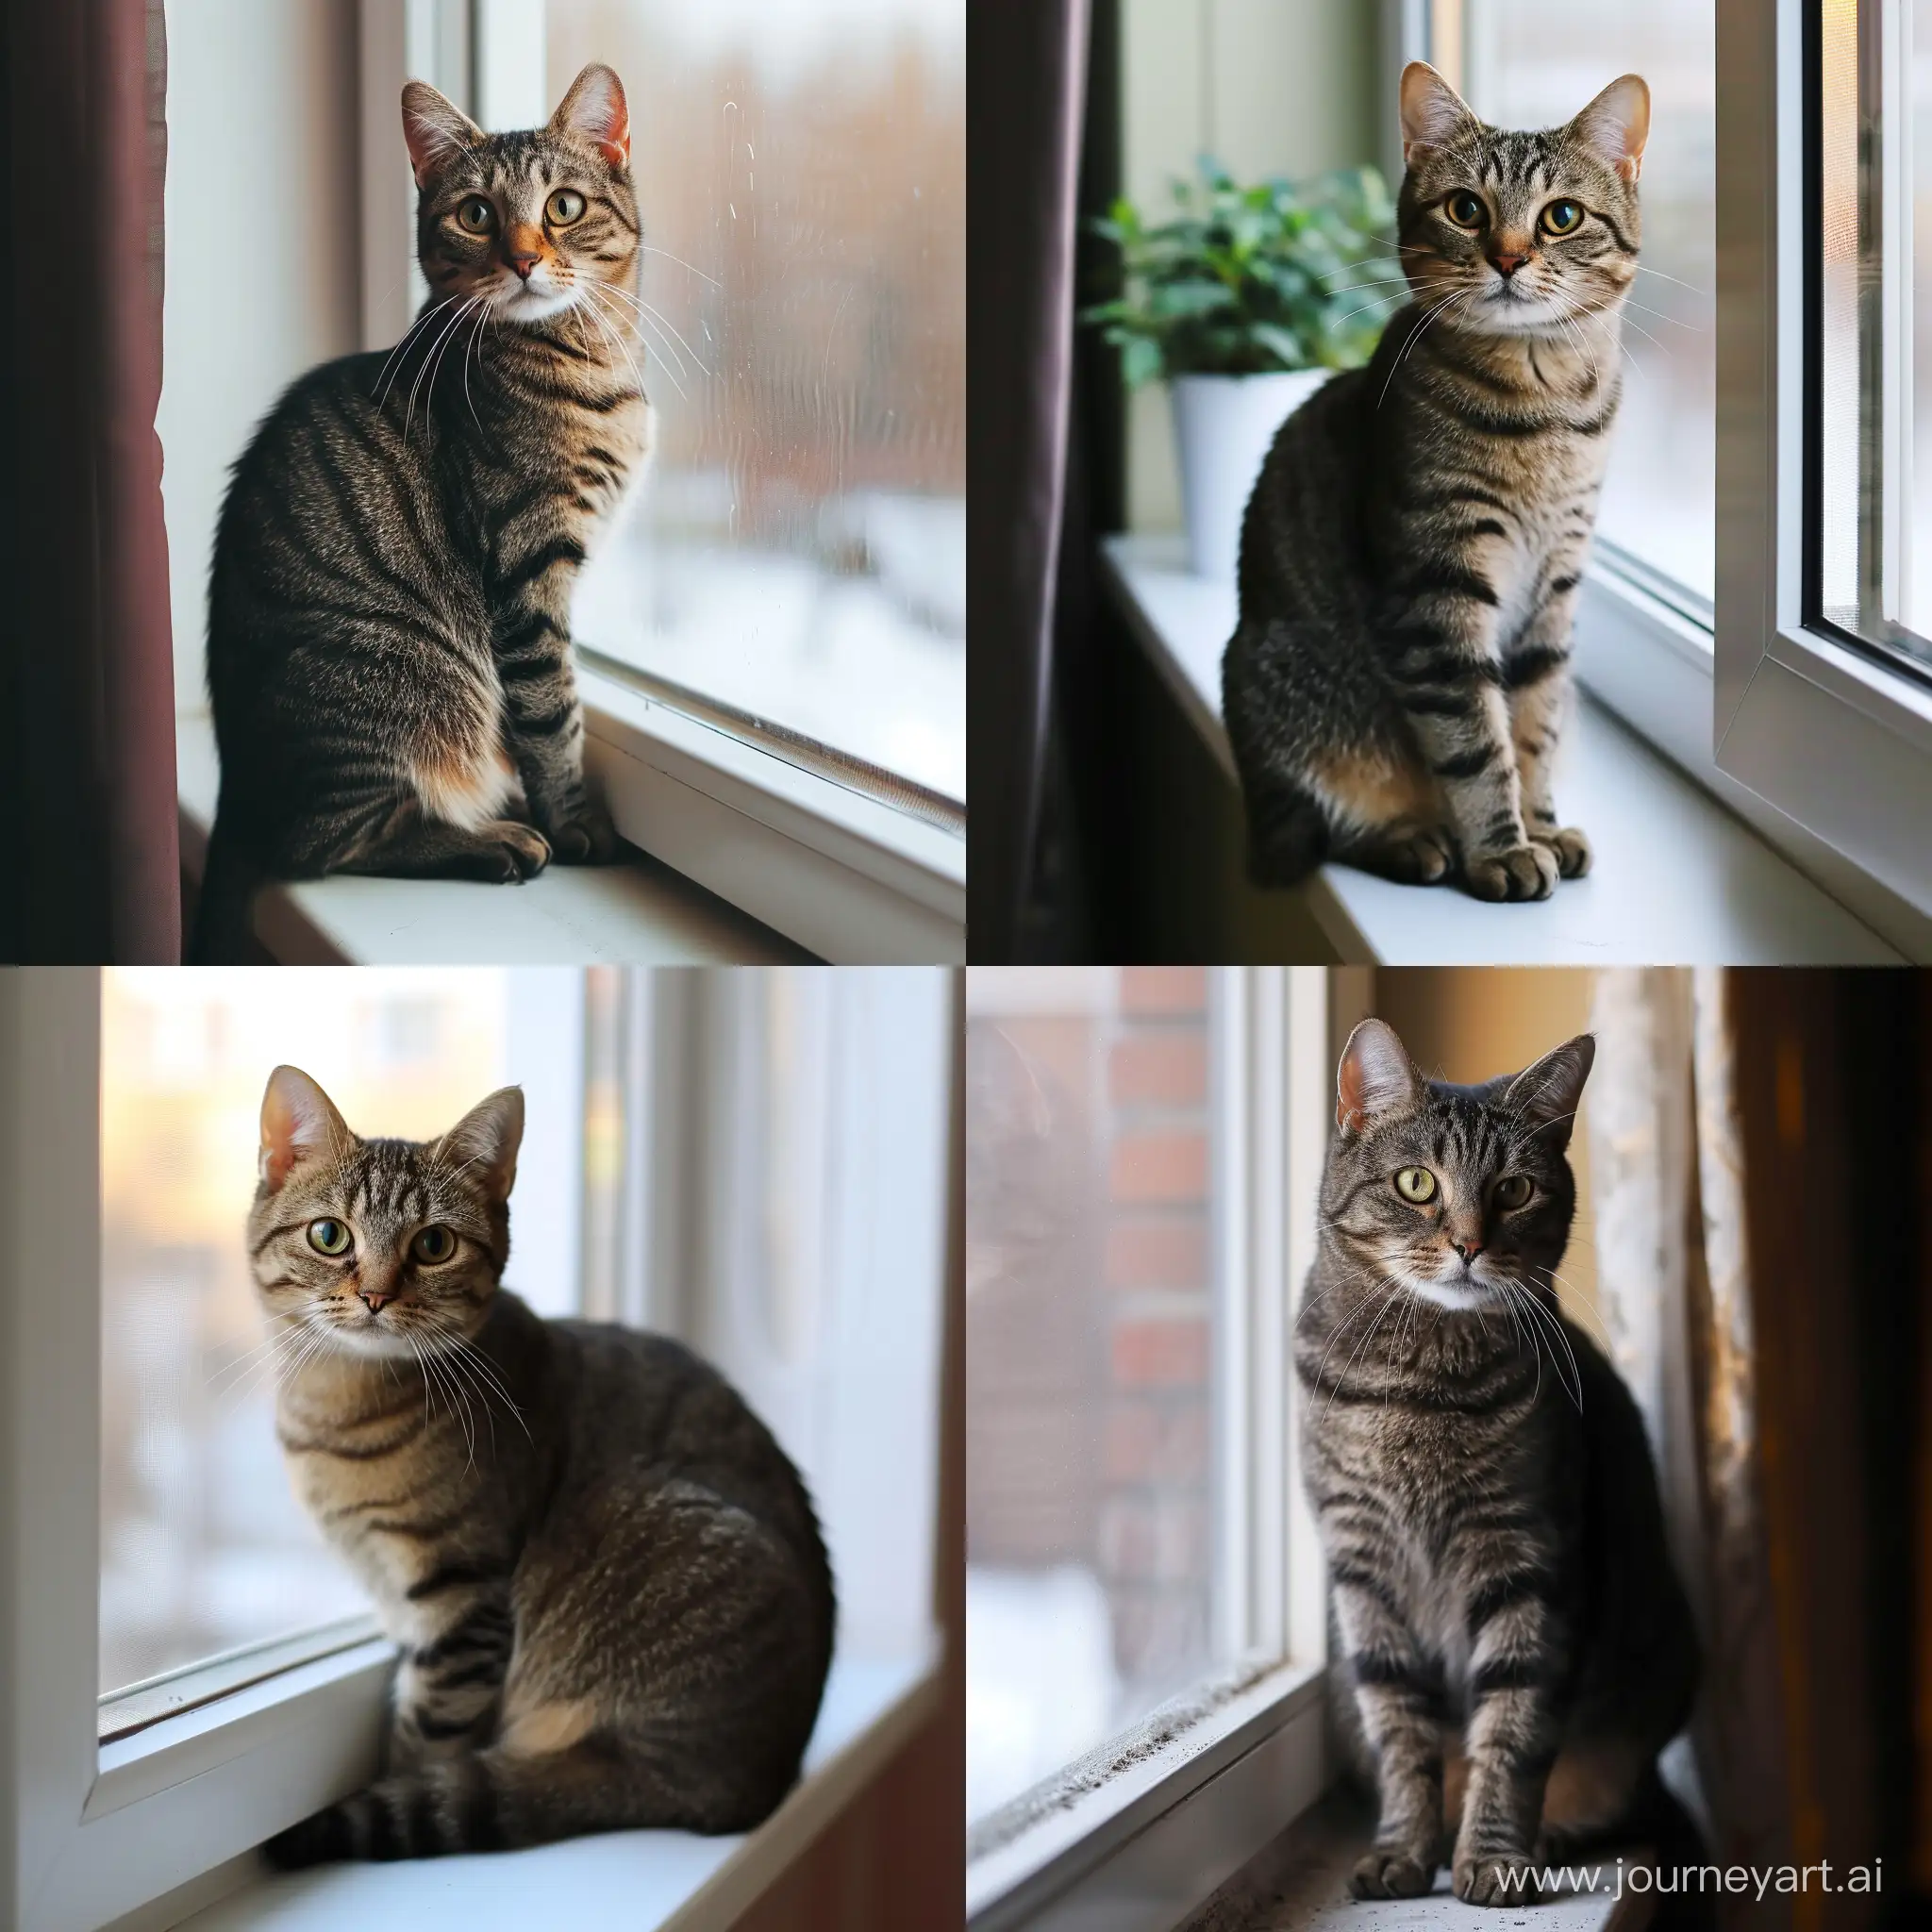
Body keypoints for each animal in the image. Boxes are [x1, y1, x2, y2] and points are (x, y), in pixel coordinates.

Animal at [192, 66, 653, 958]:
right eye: (476, 215)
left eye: (562, 207)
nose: (523, 259)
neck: (587, 362)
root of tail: (234, 781)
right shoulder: (526, 563)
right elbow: (554, 713)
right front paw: (573, 818)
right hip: (402, 680)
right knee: (319, 846)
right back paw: (495, 841)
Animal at [253, 1066, 834, 1862]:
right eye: (329, 1235)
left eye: (434, 1244)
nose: (374, 1295)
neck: (340, 1401)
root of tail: (750, 1785)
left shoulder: (463, 1594)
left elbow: (425, 1731)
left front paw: (403, 1776)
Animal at [1228, 64, 1654, 900]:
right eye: (1466, 209)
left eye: (1561, 217)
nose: (1509, 258)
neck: (1544, 405)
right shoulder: (1438, 589)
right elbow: (1477, 742)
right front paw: (1504, 849)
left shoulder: (1557, 586)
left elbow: (1535, 726)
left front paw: (1542, 827)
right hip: (1278, 692)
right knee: (1319, 829)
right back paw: (1413, 838)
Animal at [1306, 1020, 1700, 1908]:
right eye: (1417, 1183)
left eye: (1515, 1191)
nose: (1468, 1245)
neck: (1417, 1387)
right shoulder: (1361, 1565)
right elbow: (1402, 1732)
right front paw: (1403, 1849)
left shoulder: (1525, 1557)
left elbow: (1511, 1732)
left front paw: (1491, 1856)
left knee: (1611, 1796)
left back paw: (1547, 1837)